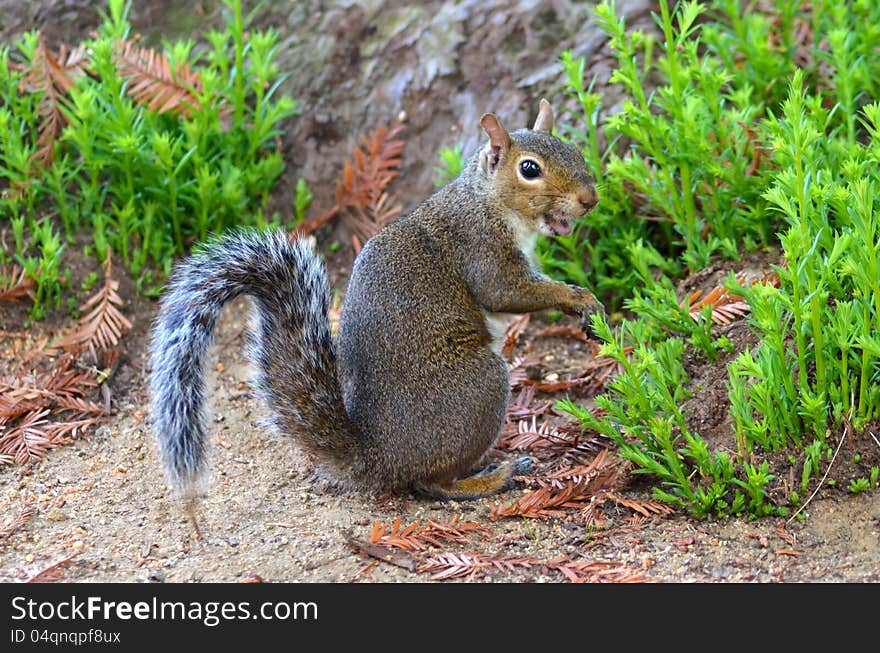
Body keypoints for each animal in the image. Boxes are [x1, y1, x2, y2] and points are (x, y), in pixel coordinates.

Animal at [151, 98, 604, 504]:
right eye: (529, 169)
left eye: (575, 150)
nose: (590, 200)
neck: (487, 200)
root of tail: (380, 458)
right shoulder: (479, 246)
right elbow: (506, 290)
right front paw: (578, 297)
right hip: (482, 387)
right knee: (431, 484)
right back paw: (492, 477)